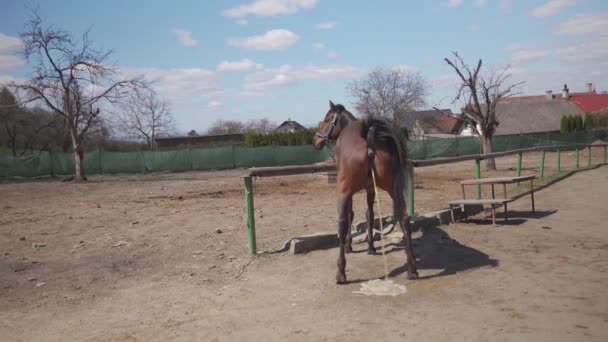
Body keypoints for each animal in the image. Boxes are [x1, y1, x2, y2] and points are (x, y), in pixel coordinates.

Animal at [314, 100, 418, 284]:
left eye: (327, 119)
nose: (316, 139)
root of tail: (370, 144)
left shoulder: (348, 192)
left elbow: (351, 215)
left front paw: (349, 245)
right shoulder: (371, 189)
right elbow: (370, 215)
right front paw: (371, 246)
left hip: (343, 191)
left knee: (342, 223)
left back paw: (341, 272)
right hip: (393, 191)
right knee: (404, 220)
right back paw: (412, 268)